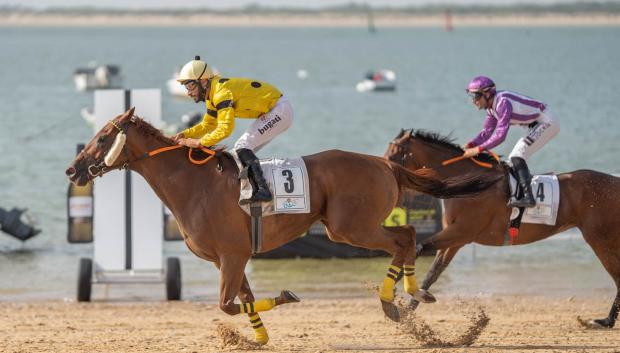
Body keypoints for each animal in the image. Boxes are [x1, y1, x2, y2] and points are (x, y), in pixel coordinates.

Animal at [64, 108, 498, 344]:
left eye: (103, 137)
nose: (73, 169)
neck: (193, 183)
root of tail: (385, 163)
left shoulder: (232, 254)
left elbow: (227, 304)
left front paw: (284, 299)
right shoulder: (231, 258)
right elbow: (242, 300)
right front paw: (258, 337)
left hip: (350, 228)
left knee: (405, 239)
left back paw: (397, 300)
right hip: (351, 227)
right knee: (408, 239)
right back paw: (409, 296)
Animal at [386, 129, 616, 328]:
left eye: (394, 154)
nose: (386, 175)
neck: (469, 184)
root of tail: (615, 181)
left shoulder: (460, 232)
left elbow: (419, 248)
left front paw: (394, 295)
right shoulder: (455, 240)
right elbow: (432, 272)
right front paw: (407, 307)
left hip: (600, 238)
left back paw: (605, 321)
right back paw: (606, 320)